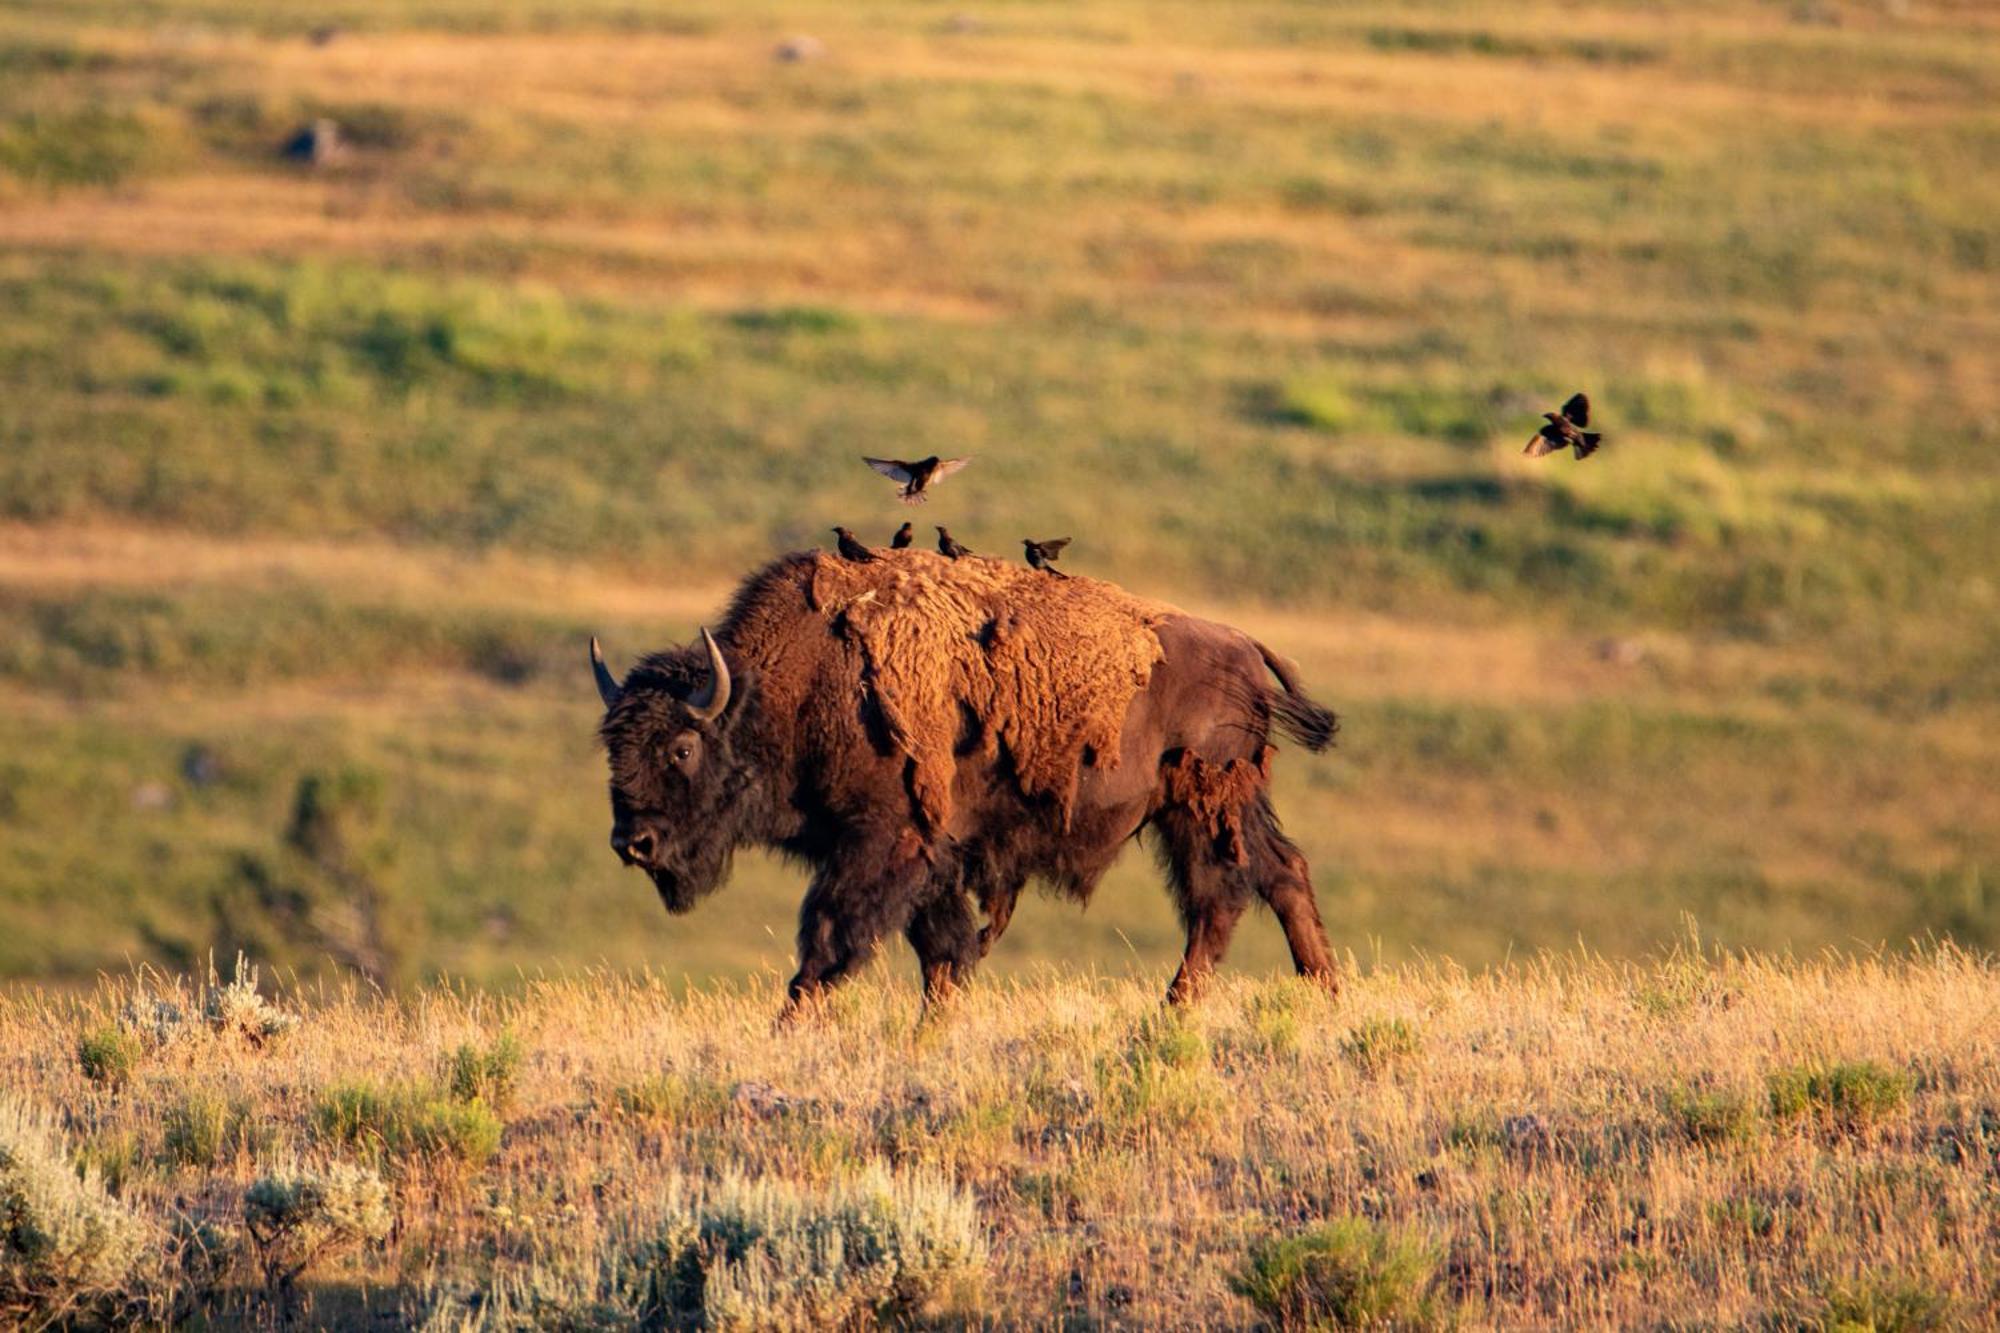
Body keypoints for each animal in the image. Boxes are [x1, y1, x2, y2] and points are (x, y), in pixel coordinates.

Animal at [592, 544, 1344, 1012]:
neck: (795, 686)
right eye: (612, 748)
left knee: (1223, 896)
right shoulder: (935, 862)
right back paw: (1321, 995)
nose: (633, 843)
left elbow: (832, 939)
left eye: (682, 748)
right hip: (1214, 808)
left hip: (1202, 805)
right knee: (1277, 875)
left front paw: (792, 1026)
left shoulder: (885, 845)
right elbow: (943, 954)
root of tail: (1244, 648)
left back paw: (1177, 1010)